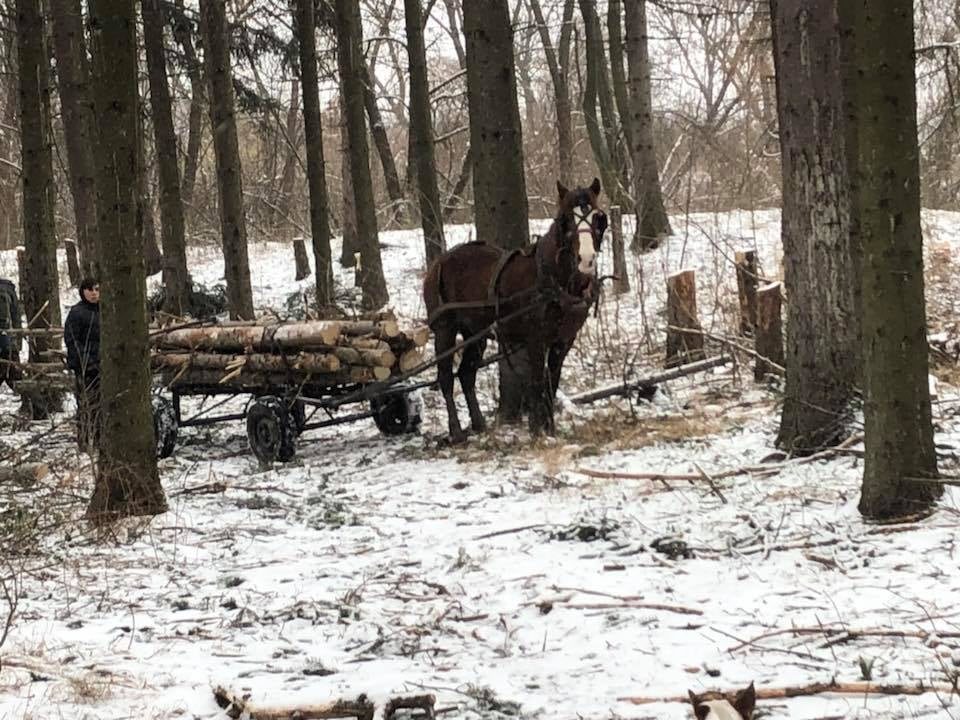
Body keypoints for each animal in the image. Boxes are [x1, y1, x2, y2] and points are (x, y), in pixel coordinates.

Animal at [422, 176, 604, 442]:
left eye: (598, 217)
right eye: (566, 219)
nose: (587, 259)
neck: (551, 277)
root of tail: (439, 262)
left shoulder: (563, 340)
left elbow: (553, 381)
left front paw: (550, 429)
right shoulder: (536, 338)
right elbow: (537, 381)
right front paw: (538, 430)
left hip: (474, 333)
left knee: (466, 374)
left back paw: (479, 424)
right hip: (444, 330)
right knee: (446, 377)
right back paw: (456, 432)